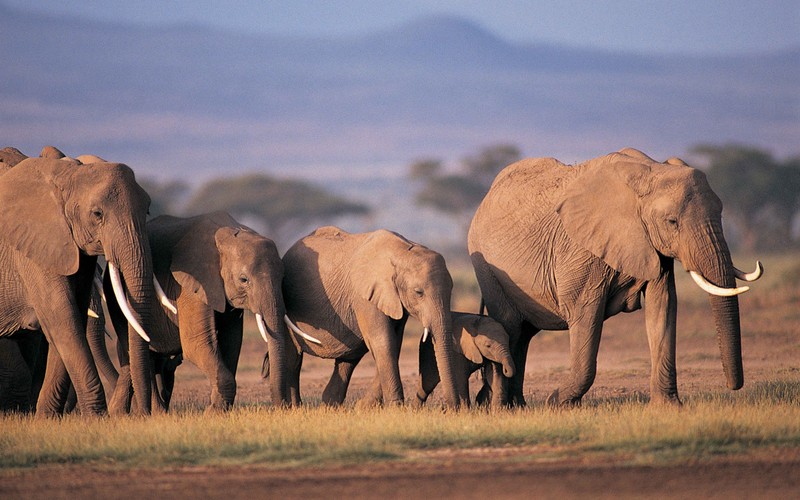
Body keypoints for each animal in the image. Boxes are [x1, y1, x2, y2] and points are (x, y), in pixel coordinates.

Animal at [0, 154, 157, 416]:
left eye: (147, 210)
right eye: (97, 214)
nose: (143, 414)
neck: (67, 174)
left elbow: (72, 318)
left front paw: (46, 418)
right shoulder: (33, 248)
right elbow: (63, 319)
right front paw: (97, 418)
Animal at [106, 213, 292, 412]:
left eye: (283, 277)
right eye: (244, 280)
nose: (282, 406)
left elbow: (232, 342)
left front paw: (217, 408)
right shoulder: (191, 284)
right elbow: (197, 343)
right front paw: (212, 413)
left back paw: (119, 413)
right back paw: (154, 413)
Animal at [278, 226, 462, 406]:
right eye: (418, 292)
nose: (452, 408)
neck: (403, 252)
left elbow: (394, 342)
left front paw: (365, 407)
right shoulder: (365, 297)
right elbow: (383, 340)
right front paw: (395, 408)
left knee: (348, 360)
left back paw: (330, 406)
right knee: (293, 359)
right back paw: (295, 407)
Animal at [468, 147, 764, 406]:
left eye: (721, 214)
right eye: (672, 222)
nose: (733, 386)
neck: (650, 171)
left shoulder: (652, 247)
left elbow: (663, 308)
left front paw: (669, 407)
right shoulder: (581, 250)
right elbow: (585, 313)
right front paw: (557, 404)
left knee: (524, 335)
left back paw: (517, 405)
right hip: (487, 268)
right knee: (511, 327)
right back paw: (500, 406)